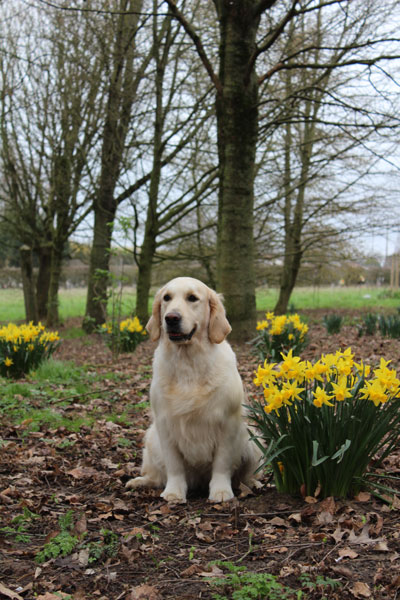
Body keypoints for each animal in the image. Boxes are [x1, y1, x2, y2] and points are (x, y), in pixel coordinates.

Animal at [126, 276, 260, 502]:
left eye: (192, 298)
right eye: (167, 298)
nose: (171, 318)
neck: (188, 362)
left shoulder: (227, 423)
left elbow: (222, 463)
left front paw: (221, 491)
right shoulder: (165, 424)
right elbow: (174, 465)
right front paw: (173, 492)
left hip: (252, 440)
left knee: (245, 474)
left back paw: (252, 483)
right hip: (151, 440)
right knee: (155, 475)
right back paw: (140, 481)